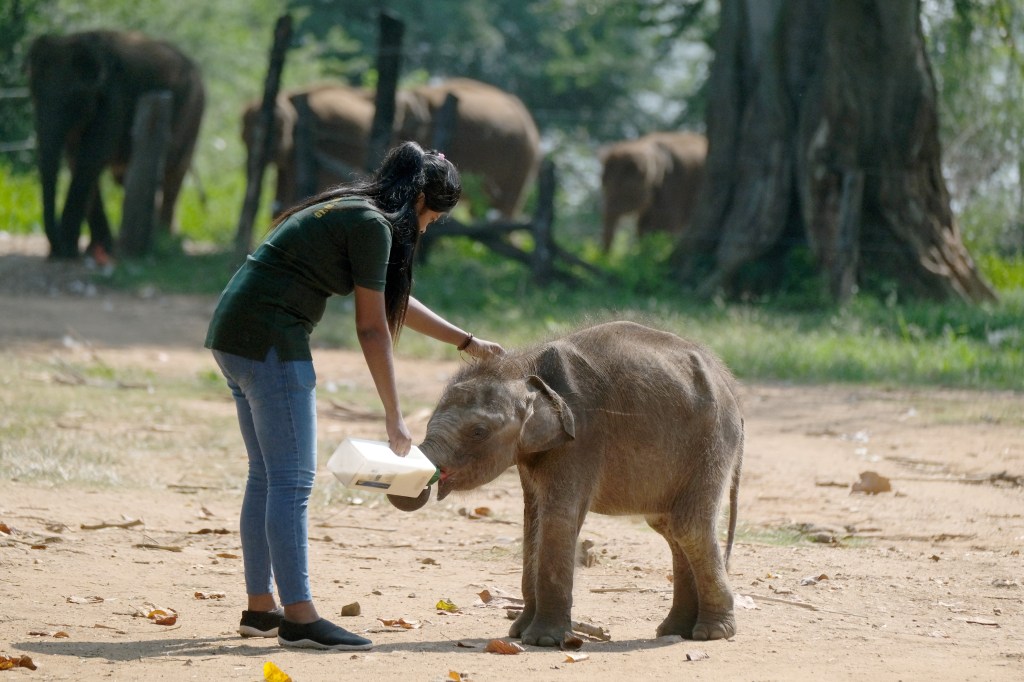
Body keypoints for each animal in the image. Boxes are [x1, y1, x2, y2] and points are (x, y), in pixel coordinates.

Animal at [26, 30, 205, 261]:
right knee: (130, 178)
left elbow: (91, 158)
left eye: (73, 99)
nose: (53, 251)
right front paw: (93, 249)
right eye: (33, 94)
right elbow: (77, 160)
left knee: (173, 173)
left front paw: (68, 251)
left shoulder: (113, 98)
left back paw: (165, 240)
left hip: (192, 112)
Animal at [395, 320, 744, 646]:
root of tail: (729, 382)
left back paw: (712, 633)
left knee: (688, 526)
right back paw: (675, 630)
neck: (526, 372)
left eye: (478, 431)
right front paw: (518, 633)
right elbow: (533, 520)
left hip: (709, 444)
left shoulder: (581, 439)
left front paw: (542, 641)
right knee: (668, 527)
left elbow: (558, 517)